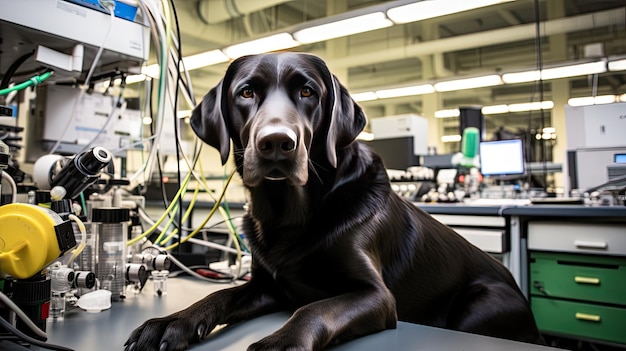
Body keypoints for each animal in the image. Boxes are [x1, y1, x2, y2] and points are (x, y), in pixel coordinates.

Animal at [123, 53, 540, 351]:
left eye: (308, 92)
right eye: (246, 92)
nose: (277, 142)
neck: (290, 213)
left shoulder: (375, 295)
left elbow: (314, 309)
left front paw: (279, 343)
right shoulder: (268, 285)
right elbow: (220, 294)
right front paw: (172, 321)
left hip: (480, 301)